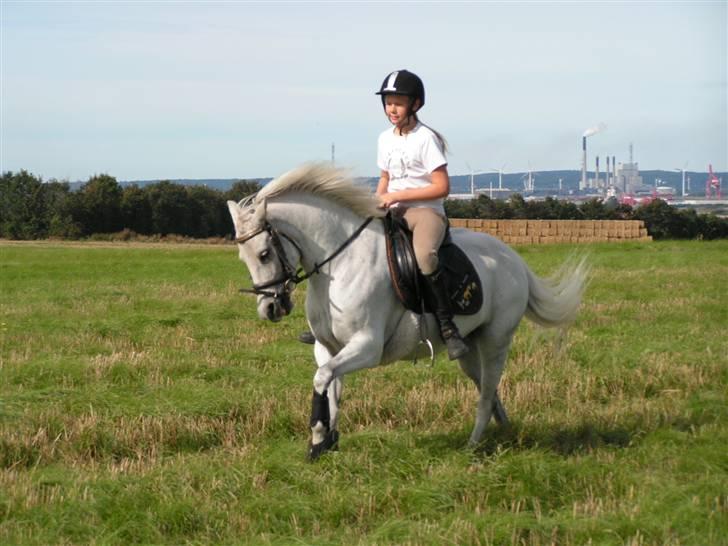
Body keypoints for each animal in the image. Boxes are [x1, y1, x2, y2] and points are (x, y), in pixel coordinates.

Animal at [225, 163, 588, 460]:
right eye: (243, 258)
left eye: (263, 254)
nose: (270, 308)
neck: (338, 263)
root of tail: (515, 260)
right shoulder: (327, 347)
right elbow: (331, 387)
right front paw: (326, 441)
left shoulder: (367, 347)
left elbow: (322, 380)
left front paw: (318, 439)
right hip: (471, 347)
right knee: (489, 387)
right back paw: (505, 432)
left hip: (495, 340)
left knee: (486, 393)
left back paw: (472, 446)